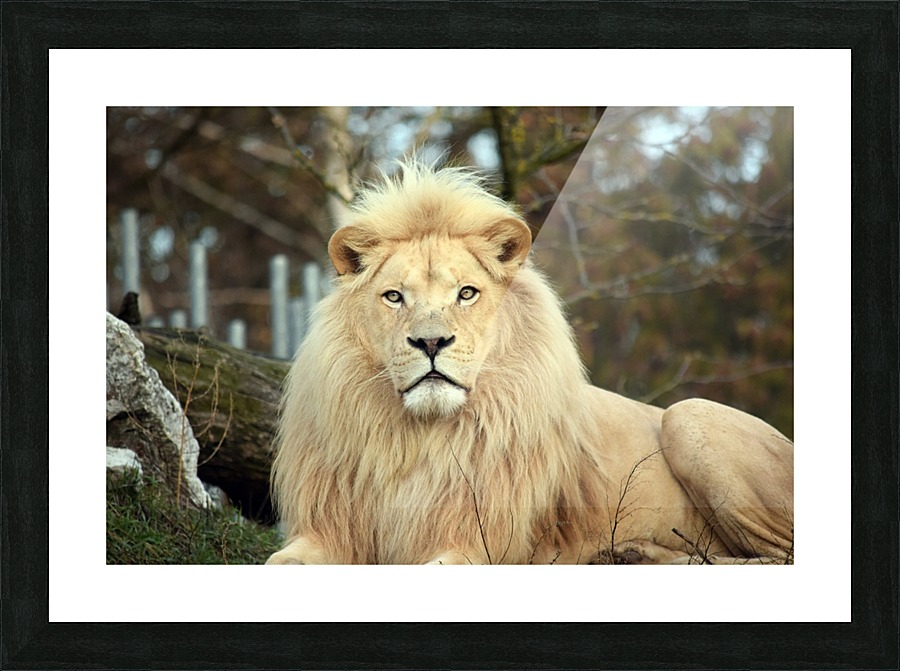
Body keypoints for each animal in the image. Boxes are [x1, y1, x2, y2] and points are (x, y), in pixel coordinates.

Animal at [266, 159, 793, 565]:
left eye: (467, 293)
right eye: (394, 296)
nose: (431, 342)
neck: (419, 439)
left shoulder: (477, 544)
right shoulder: (328, 530)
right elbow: (280, 562)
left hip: (689, 415)